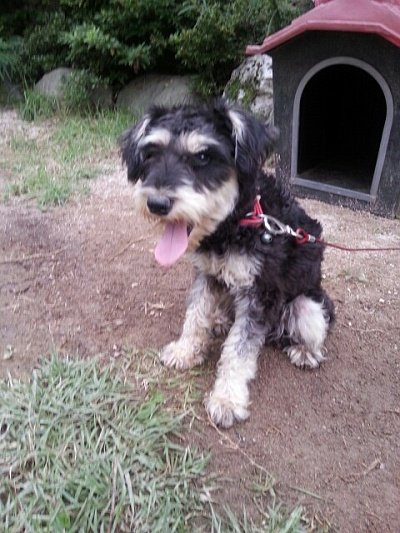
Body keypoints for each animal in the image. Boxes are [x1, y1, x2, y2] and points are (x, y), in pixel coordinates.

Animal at [120, 99, 335, 428]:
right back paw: (220, 320)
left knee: (310, 329)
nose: (156, 204)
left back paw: (305, 352)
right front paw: (185, 350)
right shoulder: (207, 275)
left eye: (203, 156)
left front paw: (227, 399)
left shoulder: (260, 294)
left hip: (307, 305)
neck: (238, 221)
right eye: (152, 152)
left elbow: (239, 350)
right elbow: (195, 315)